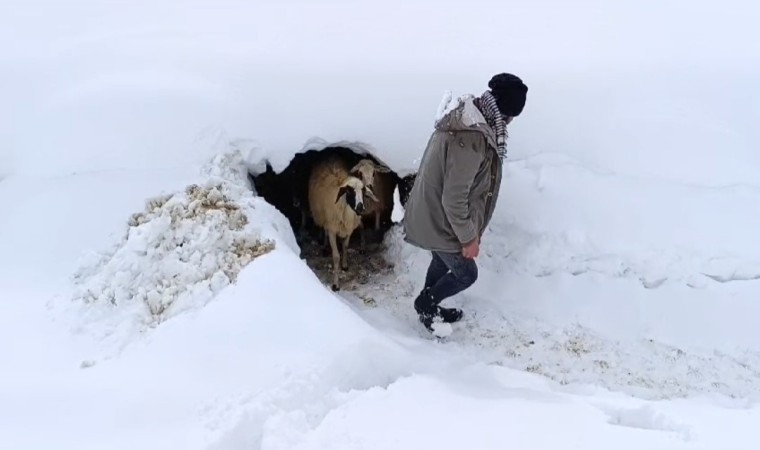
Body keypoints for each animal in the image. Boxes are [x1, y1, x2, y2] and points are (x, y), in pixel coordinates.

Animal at [306, 157, 372, 292]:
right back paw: (324, 246)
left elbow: (345, 247)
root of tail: (330, 156)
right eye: (349, 191)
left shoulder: (348, 230)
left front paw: (345, 265)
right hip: (323, 217)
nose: (360, 208)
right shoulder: (332, 230)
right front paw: (335, 285)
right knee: (325, 231)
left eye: (363, 191)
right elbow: (336, 256)